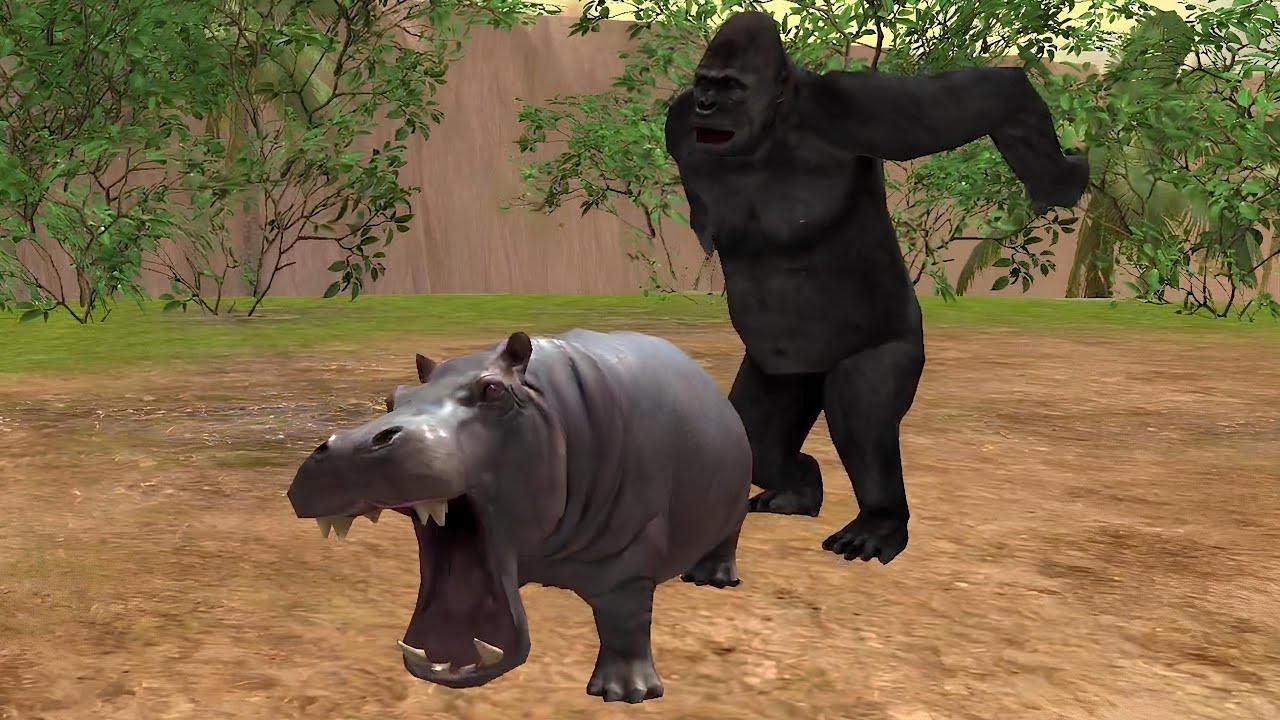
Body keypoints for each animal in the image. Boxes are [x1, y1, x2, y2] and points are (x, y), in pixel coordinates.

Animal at [286, 328, 752, 703]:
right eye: (393, 399)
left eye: (493, 390)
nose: (350, 448)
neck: (547, 399)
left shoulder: (631, 554)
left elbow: (625, 620)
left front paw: (625, 695)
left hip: (733, 506)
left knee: (727, 536)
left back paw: (712, 578)